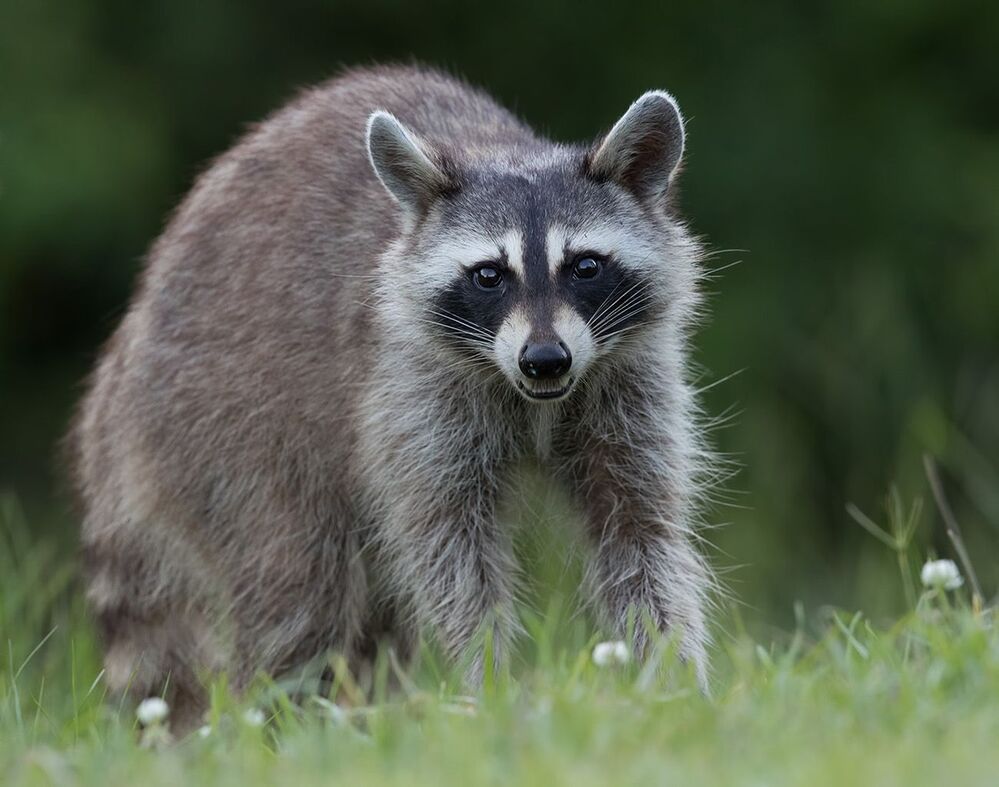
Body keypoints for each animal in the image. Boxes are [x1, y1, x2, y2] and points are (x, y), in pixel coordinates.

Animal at [69, 65, 715, 729]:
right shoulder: (409, 386)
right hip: (220, 420)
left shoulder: (629, 383)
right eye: (489, 275)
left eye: (585, 266)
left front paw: (673, 680)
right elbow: (449, 551)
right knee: (295, 579)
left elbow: (640, 534)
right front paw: (488, 683)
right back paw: (284, 719)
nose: (544, 359)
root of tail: (125, 353)